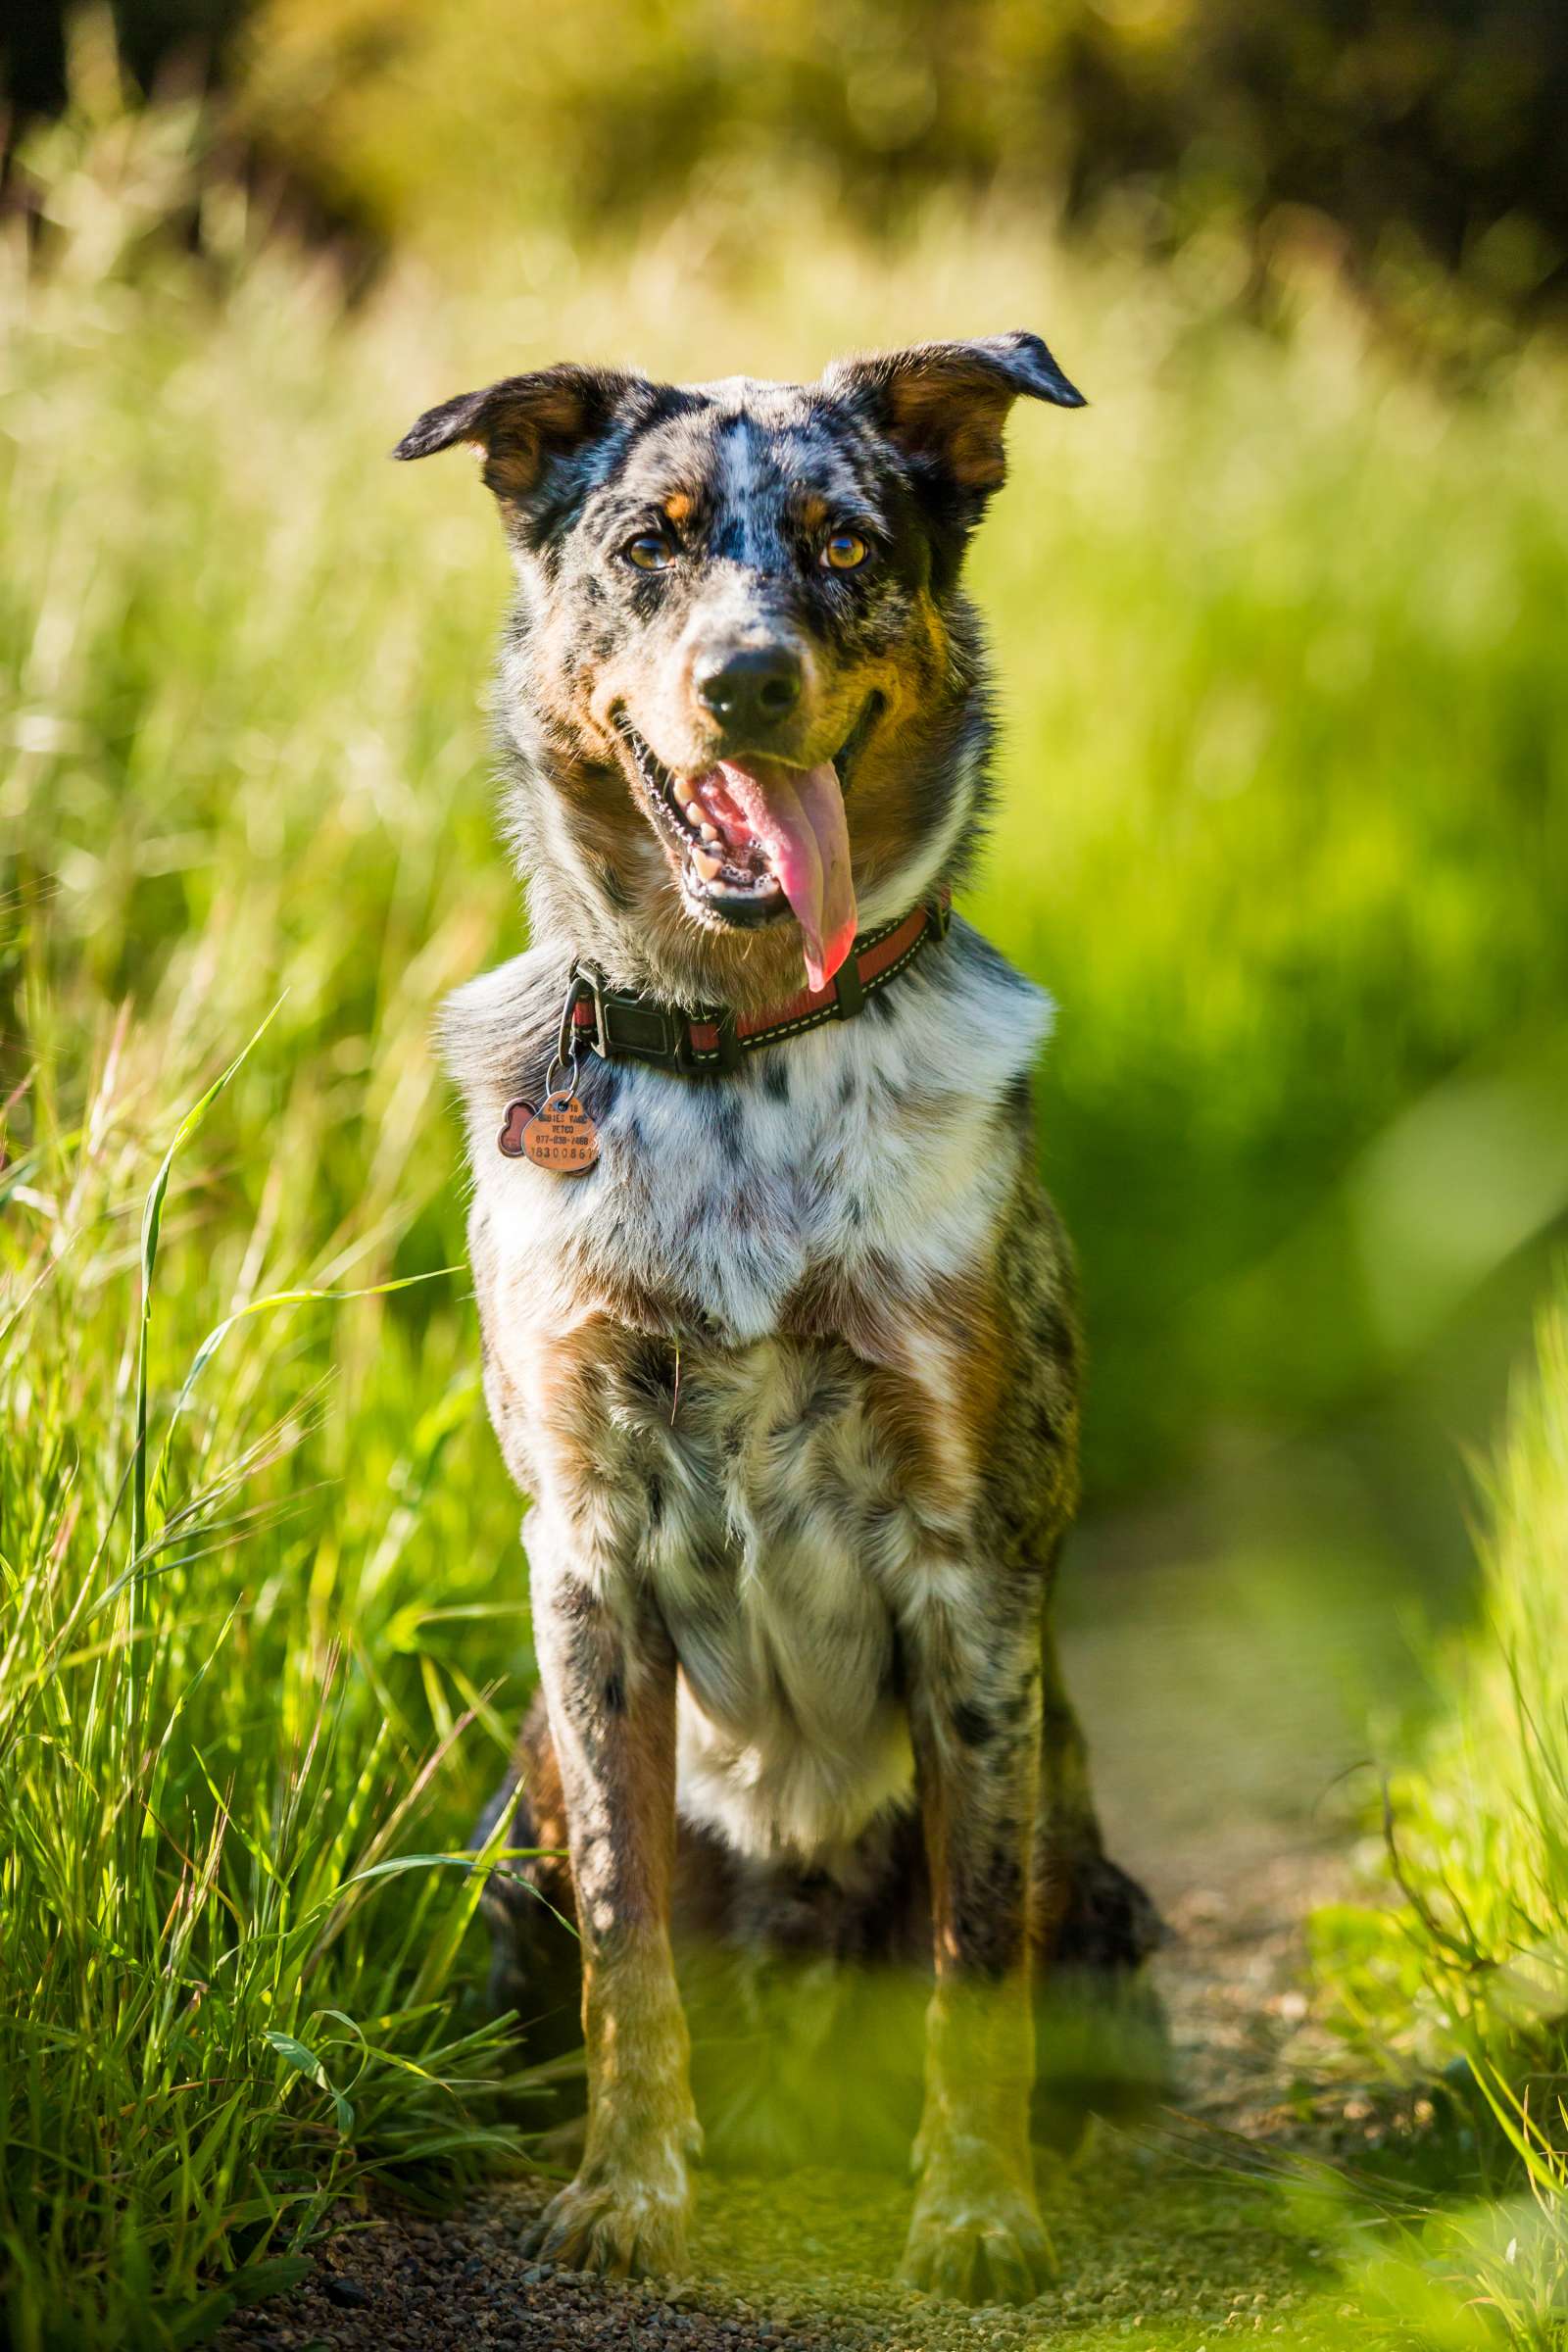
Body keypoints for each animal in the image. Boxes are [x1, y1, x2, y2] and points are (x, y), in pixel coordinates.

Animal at [399, 331, 1170, 2295]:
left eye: (840, 544)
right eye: (650, 543)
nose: (745, 685)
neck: (745, 1039)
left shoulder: (972, 1569)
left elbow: (977, 1949)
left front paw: (976, 2212)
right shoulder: (584, 1559)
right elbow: (630, 1936)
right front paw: (627, 2192)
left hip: (1116, 1912)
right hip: (498, 1843)